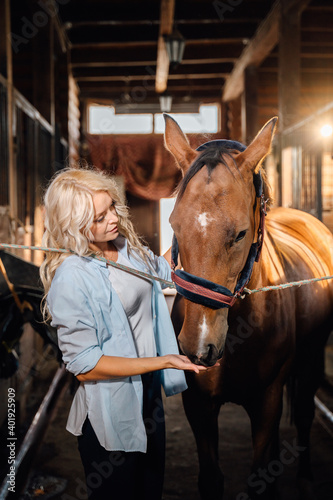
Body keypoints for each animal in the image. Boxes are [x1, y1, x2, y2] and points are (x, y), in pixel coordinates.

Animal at [163, 116, 332, 500]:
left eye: (240, 234)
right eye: (174, 224)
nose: (198, 345)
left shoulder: (267, 400)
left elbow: (258, 479)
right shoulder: (198, 405)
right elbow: (212, 479)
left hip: (312, 358)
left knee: (303, 414)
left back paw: (305, 479)